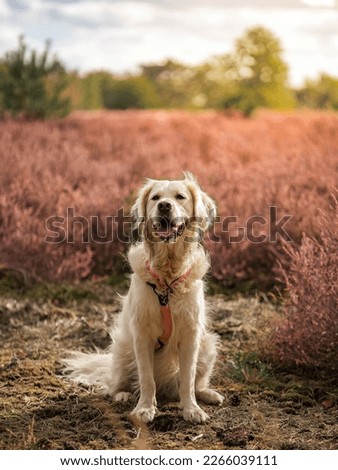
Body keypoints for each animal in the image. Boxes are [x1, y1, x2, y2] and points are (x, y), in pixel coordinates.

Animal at [64, 173, 223, 422]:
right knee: (115, 384)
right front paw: (144, 409)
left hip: (208, 345)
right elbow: (147, 379)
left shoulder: (191, 335)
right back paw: (123, 395)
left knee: (194, 383)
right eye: (155, 197)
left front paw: (191, 409)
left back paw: (207, 393)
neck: (167, 277)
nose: (164, 205)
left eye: (180, 196)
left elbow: (187, 380)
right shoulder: (142, 336)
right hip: (122, 348)